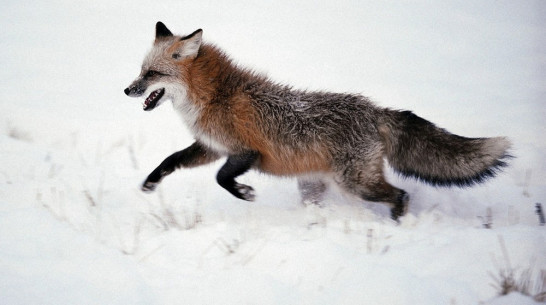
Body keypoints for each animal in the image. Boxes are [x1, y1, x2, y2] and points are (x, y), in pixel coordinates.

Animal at [123, 22, 510, 221]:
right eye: (141, 70)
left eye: (152, 74)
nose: (127, 89)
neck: (216, 96)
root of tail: (374, 110)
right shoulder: (211, 147)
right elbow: (170, 161)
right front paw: (149, 184)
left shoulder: (246, 152)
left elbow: (222, 179)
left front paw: (245, 193)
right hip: (315, 188)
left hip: (355, 183)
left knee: (400, 193)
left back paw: (397, 222)